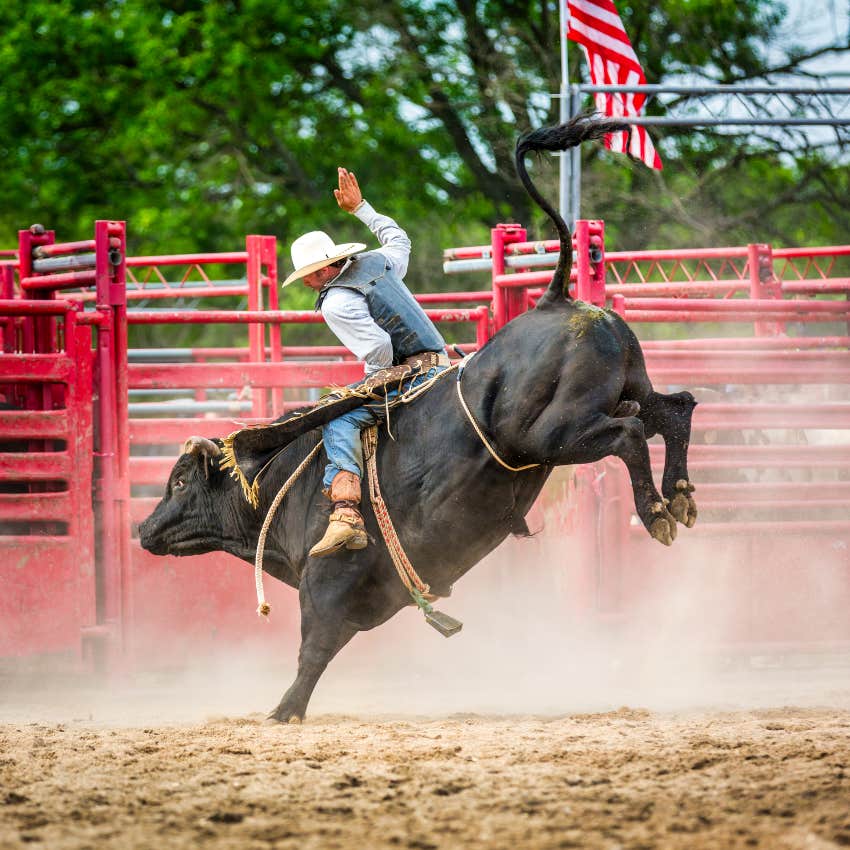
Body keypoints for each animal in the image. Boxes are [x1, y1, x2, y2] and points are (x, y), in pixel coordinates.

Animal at [139, 115, 697, 723]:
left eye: (180, 481)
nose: (143, 529)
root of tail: (556, 300)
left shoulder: (326, 584)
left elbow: (313, 649)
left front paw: (284, 710)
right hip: (629, 389)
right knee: (676, 409)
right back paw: (680, 495)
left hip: (553, 434)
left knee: (629, 433)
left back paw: (655, 513)